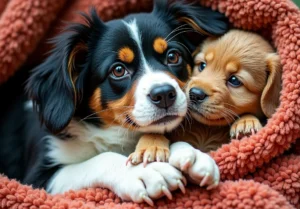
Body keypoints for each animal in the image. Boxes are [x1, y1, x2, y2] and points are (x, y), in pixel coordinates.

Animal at [0, 0, 227, 206]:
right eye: (118, 70)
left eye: (173, 56)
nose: (164, 94)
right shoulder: (36, 178)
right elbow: (99, 160)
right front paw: (144, 172)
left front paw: (190, 153)